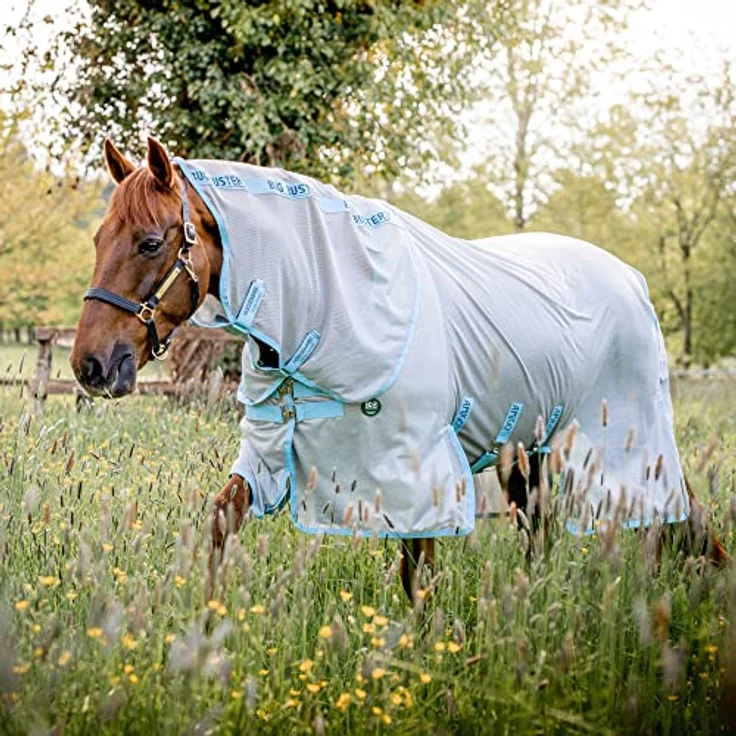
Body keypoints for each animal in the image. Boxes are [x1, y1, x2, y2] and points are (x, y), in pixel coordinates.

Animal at [71, 137, 727, 601]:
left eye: (151, 243)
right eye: (99, 239)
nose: (91, 365)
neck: (335, 297)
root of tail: (631, 279)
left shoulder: (419, 469)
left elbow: (418, 578)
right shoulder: (267, 449)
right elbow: (221, 519)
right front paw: (206, 625)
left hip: (623, 442)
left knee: (683, 516)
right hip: (532, 450)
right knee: (543, 536)